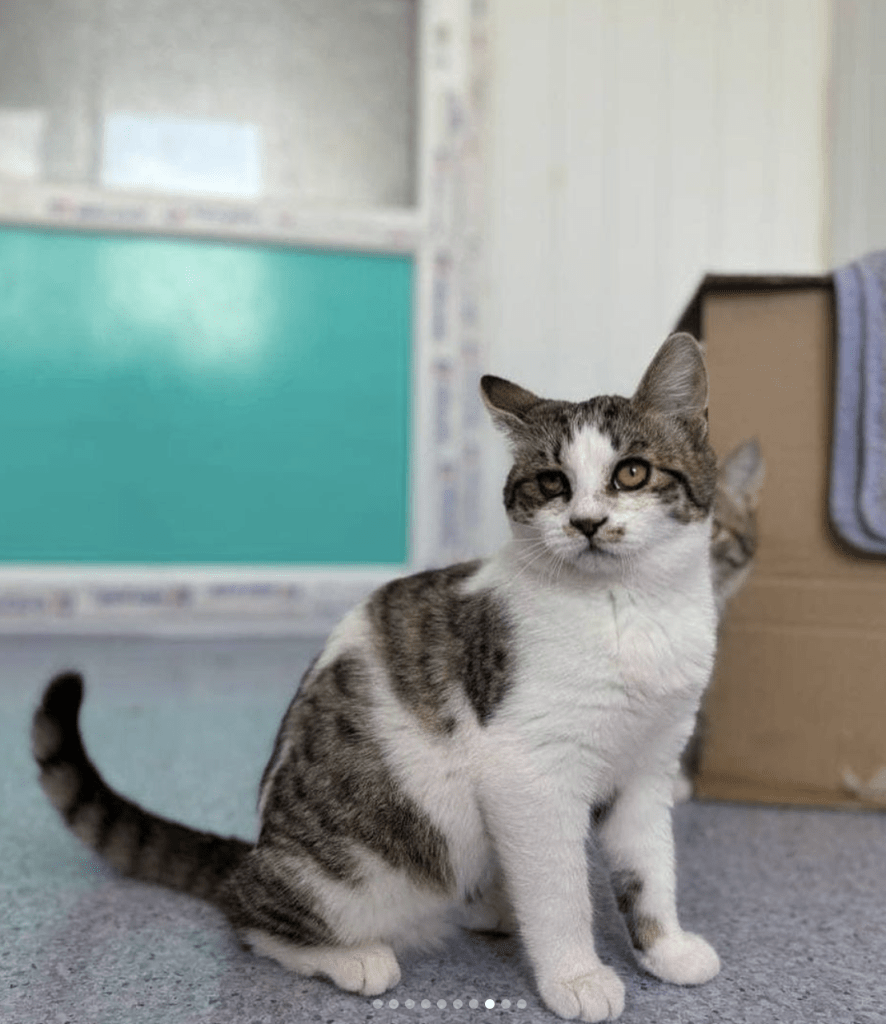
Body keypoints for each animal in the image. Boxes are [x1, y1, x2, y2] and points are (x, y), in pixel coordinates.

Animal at [36, 331, 725, 1019]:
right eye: (552, 482)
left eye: (631, 472)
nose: (586, 522)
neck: (625, 609)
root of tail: (261, 843)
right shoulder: (528, 774)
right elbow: (559, 889)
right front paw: (576, 977)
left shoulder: (649, 765)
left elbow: (648, 868)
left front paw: (666, 951)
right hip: (349, 875)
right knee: (247, 911)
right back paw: (354, 956)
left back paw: (493, 908)